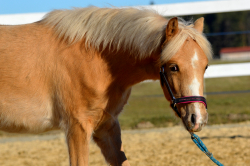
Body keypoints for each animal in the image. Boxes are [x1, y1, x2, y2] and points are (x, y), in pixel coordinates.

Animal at [0, 7, 211, 165]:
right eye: (173, 67)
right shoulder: (77, 128)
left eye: (205, 66)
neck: (93, 59)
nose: (197, 118)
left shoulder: (107, 126)